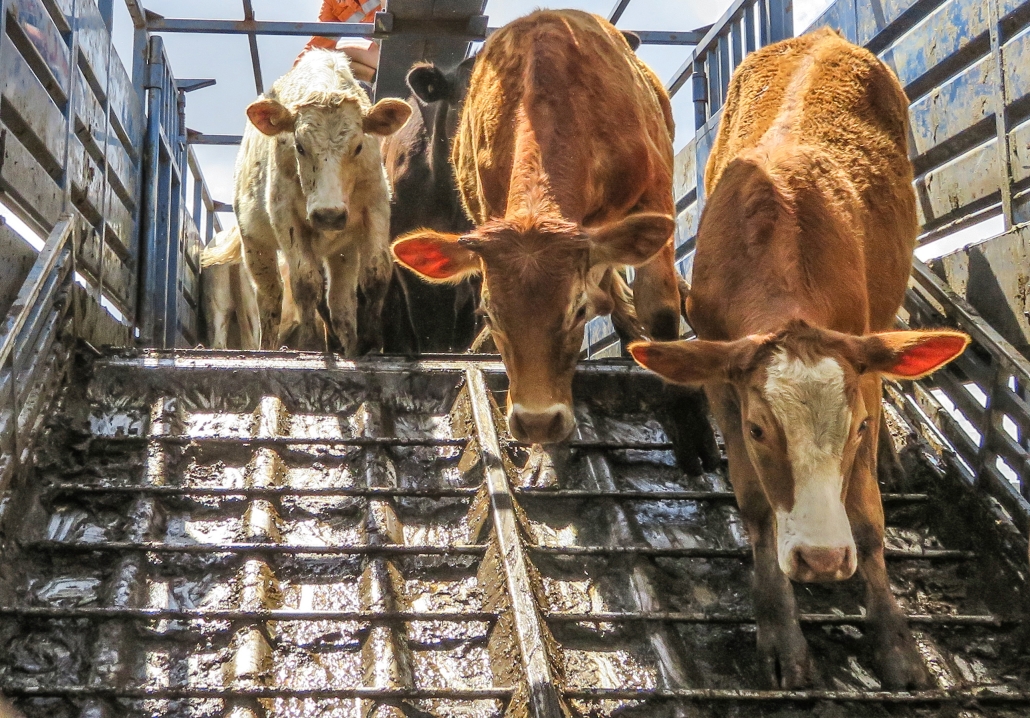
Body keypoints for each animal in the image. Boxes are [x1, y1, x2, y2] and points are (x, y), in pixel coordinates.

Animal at [234, 49, 411, 354]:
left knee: (340, 302)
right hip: (255, 246)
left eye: (358, 146)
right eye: (299, 146)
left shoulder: (375, 205)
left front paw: (370, 343)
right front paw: (310, 344)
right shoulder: (285, 216)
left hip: (343, 251)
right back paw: (269, 346)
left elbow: (375, 273)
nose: (328, 215)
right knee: (270, 297)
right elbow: (305, 281)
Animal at [629, 29, 969, 689]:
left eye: (857, 427)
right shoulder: (724, 384)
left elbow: (866, 517)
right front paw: (781, 632)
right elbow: (757, 506)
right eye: (760, 429)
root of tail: (821, 35)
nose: (821, 559)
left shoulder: (861, 366)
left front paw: (897, 643)